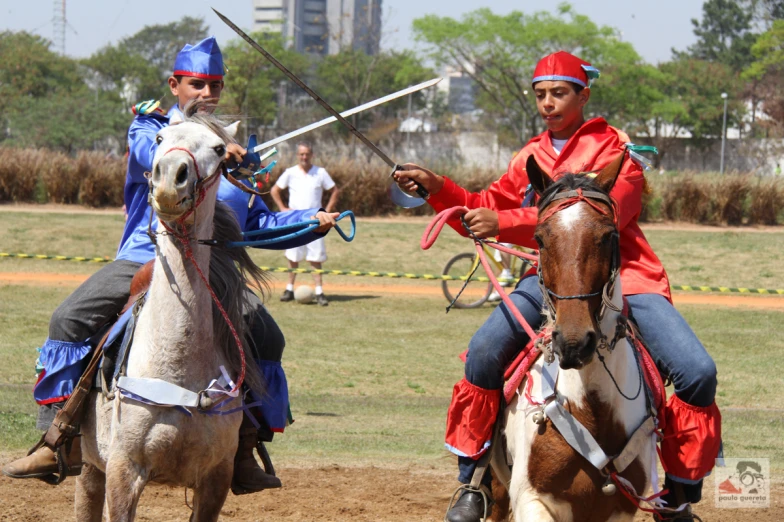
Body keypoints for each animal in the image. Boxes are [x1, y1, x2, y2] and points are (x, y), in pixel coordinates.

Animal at [76, 106, 266, 520]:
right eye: (160, 138)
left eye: (219, 150)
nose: (169, 179)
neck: (176, 366)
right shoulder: (122, 472)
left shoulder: (215, 479)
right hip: (90, 467)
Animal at [494, 152, 660, 516]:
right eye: (539, 238)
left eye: (609, 236)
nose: (573, 343)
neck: (592, 408)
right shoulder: (532, 499)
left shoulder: (620, 509)